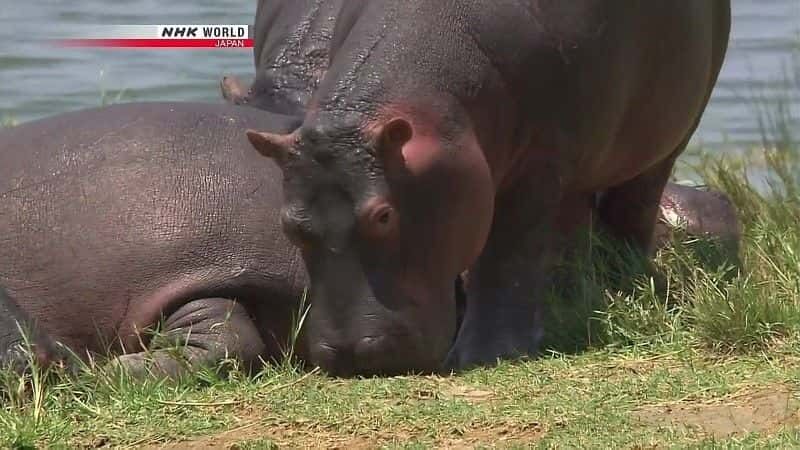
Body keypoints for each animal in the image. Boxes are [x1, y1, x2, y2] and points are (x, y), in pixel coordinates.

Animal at [244, 0, 732, 374]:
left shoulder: (540, 156)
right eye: (289, 224)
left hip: (671, 132)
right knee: (574, 228)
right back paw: (570, 299)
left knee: (633, 206)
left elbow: (508, 252)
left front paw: (488, 354)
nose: (348, 354)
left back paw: (623, 284)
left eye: (383, 215)